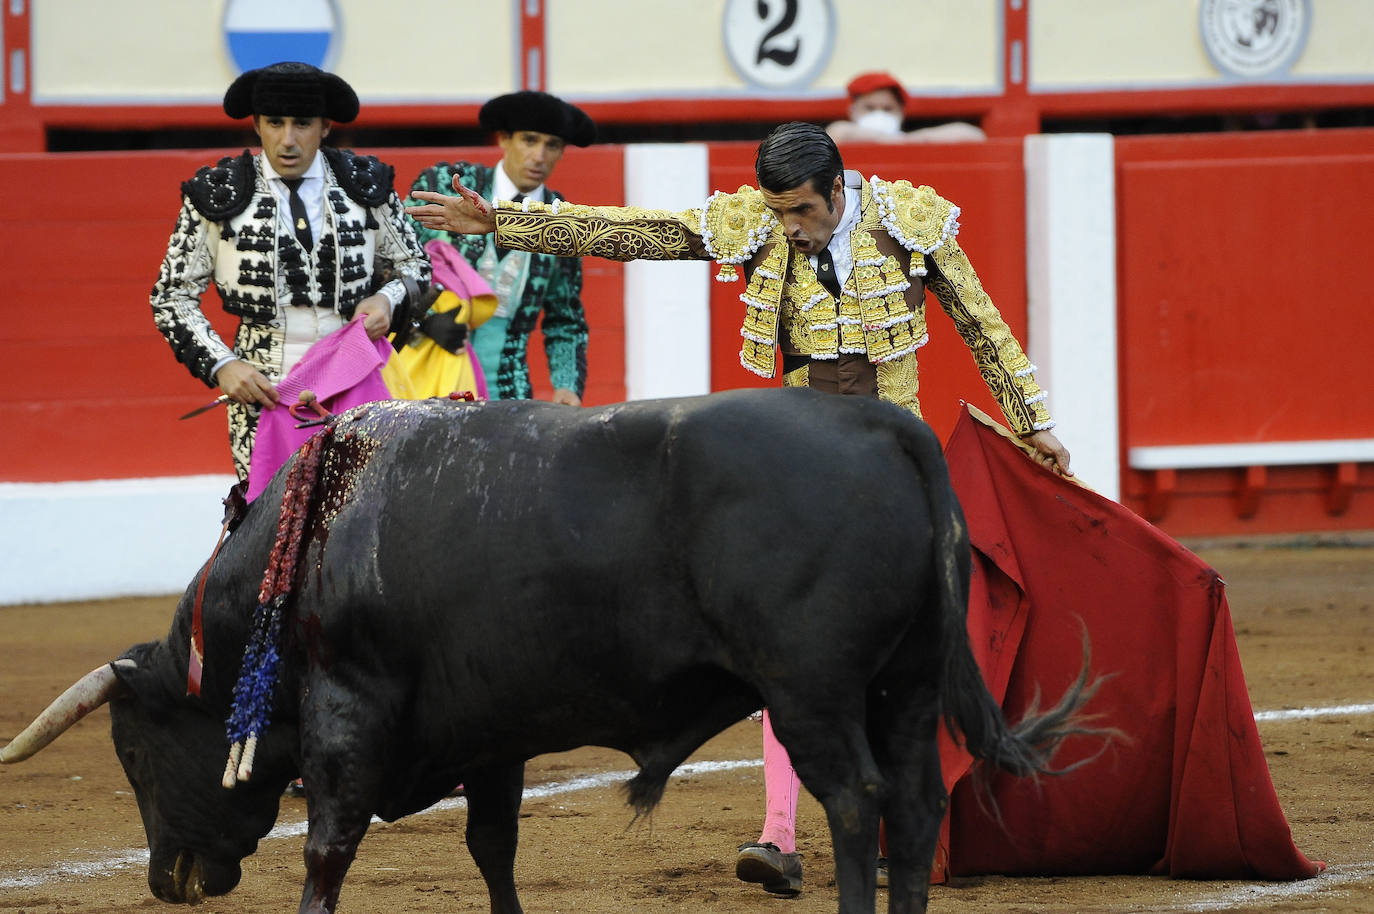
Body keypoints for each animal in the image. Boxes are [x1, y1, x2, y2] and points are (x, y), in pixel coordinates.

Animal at [0, 390, 1093, 912]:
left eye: (132, 750)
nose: (168, 878)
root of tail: (886, 425)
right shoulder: (489, 735)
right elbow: (493, 846)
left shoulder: (351, 703)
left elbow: (327, 845)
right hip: (903, 684)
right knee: (916, 800)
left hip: (811, 690)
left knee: (858, 803)